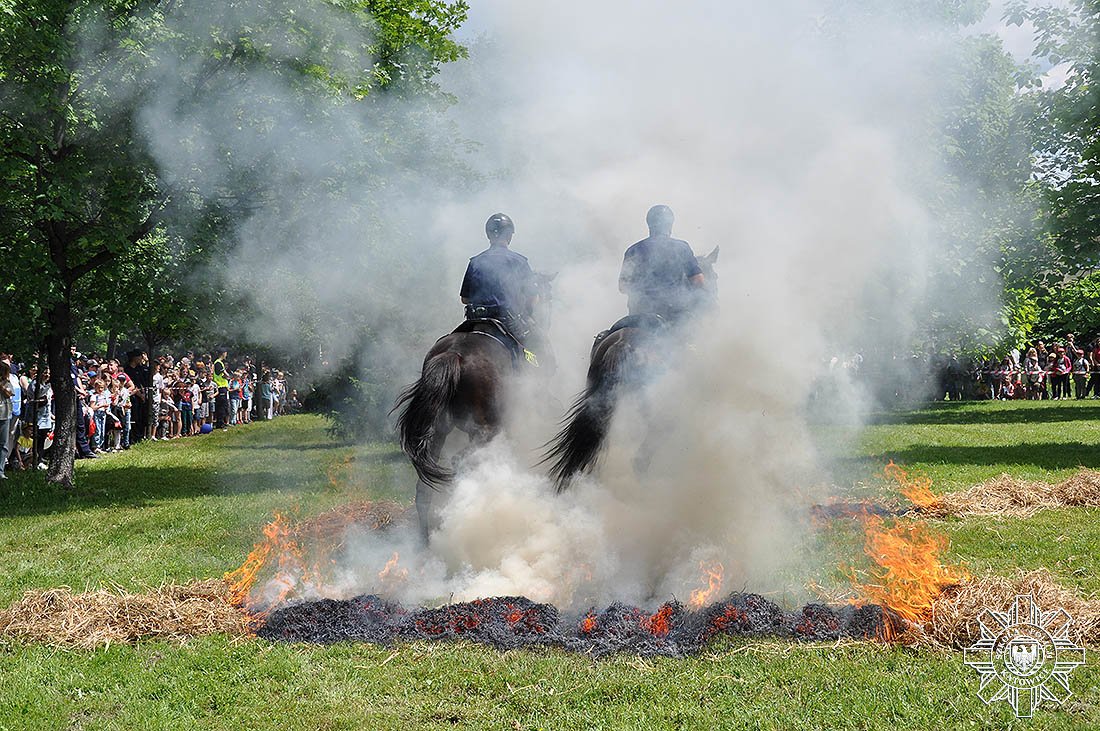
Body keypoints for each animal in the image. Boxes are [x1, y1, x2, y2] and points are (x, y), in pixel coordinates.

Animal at [393, 273, 554, 542]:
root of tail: (454, 355)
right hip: (485, 430)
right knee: (462, 461)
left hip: (437, 433)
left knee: (424, 490)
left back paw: (425, 541)